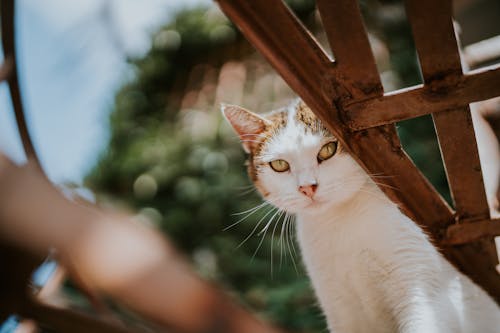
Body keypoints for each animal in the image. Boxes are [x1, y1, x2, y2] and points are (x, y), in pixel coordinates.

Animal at [223, 100, 500, 332]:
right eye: (280, 165)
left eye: (328, 150)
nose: (307, 187)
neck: (341, 222)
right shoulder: (340, 310)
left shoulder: (423, 291)